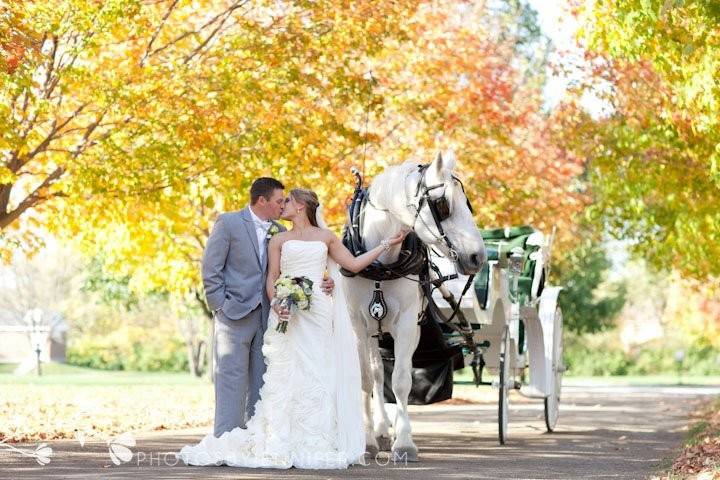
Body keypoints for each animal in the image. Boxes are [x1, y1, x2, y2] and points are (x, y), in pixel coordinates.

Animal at [342, 154, 484, 462]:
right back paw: (381, 431)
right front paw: (367, 442)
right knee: (376, 373)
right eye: (443, 205)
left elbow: (401, 381)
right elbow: (366, 380)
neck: (380, 264)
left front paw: (404, 442)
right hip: (373, 332)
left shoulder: (407, 324)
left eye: (467, 203)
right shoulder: (358, 326)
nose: (477, 257)